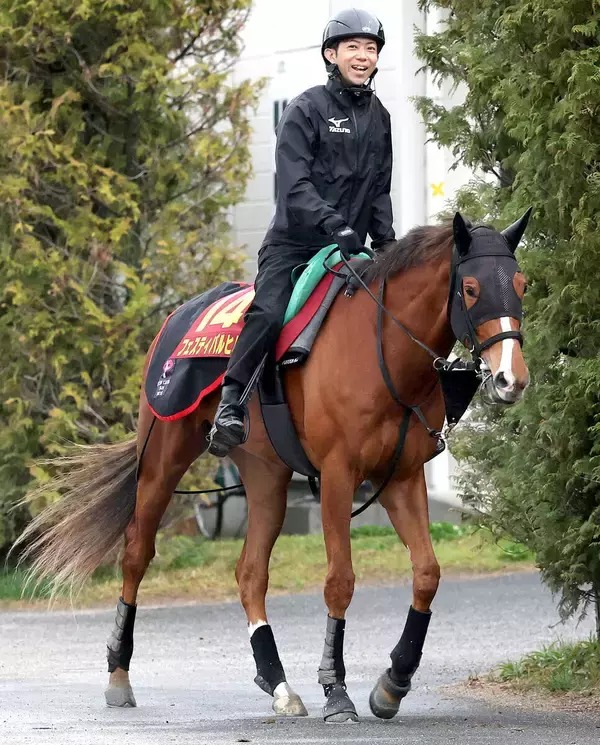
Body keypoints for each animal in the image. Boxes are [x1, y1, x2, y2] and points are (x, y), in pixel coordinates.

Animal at [13, 211, 531, 722]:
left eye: (522, 284)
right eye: (471, 288)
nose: (512, 379)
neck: (379, 344)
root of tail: (179, 314)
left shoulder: (400, 479)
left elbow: (427, 573)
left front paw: (393, 682)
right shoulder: (338, 476)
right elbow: (340, 581)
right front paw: (336, 690)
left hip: (266, 477)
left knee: (249, 573)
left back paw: (278, 683)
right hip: (162, 459)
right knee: (137, 553)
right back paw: (119, 675)